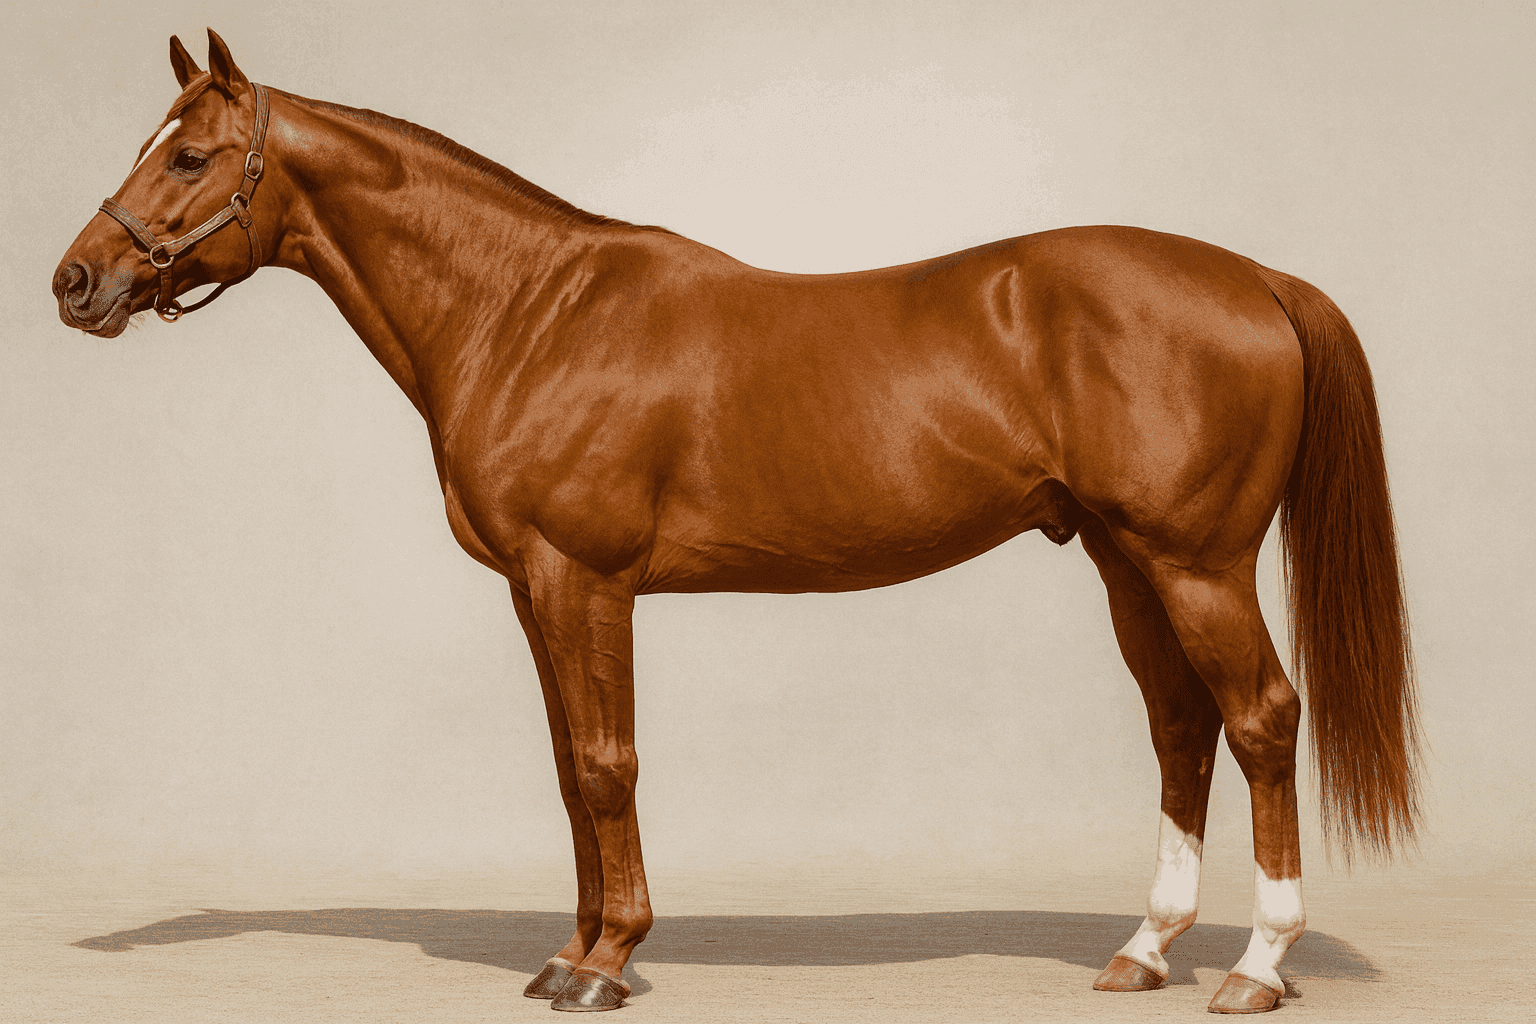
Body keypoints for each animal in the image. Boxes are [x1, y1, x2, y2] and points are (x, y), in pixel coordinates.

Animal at [53, 30, 1420, 1015]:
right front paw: (569, 951)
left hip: (1197, 563)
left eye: (188, 158)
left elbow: (609, 763)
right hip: (1127, 562)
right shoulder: (534, 590)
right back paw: (1144, 949)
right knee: (1183, 726)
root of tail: (1257, 281)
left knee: (1262, 719)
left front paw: (607, 964)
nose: (75, 281)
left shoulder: (584, 578)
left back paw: (1256, 965)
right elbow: (569, 771)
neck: (529, 310)